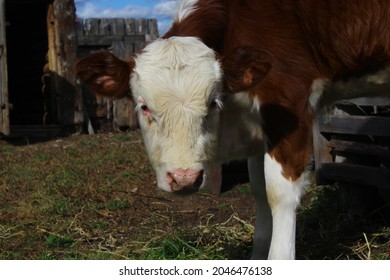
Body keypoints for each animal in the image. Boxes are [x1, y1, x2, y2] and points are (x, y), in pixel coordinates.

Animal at [77, 0, 390, 260]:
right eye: (143, 107)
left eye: (212, 103)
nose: (184, 178)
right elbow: (260, 189)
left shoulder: (289, 103)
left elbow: (278, 193)